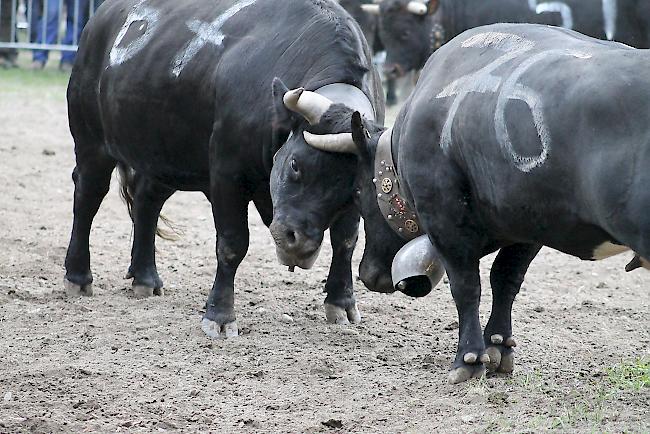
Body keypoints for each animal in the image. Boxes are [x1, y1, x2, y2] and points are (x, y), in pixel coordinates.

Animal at [62, 0, 382, 340]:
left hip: (167, 156)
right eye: (296, 164)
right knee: (87, 198)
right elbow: (232, 244)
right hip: (92, 142)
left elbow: (345, 242)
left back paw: (145, 277)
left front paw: (341, 302)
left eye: (353, 190)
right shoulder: (227, 175)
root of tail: (101, 18)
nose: (298, 242)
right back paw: (78, 276)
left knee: (147, 201)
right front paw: (220, 315)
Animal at [268, 23, 648, 384]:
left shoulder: (446, 221)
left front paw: (469, 358)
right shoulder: (529, 226)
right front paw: (498, 347)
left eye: (360, 193)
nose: (370, 274)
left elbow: (467, 286)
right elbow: (505, 279)